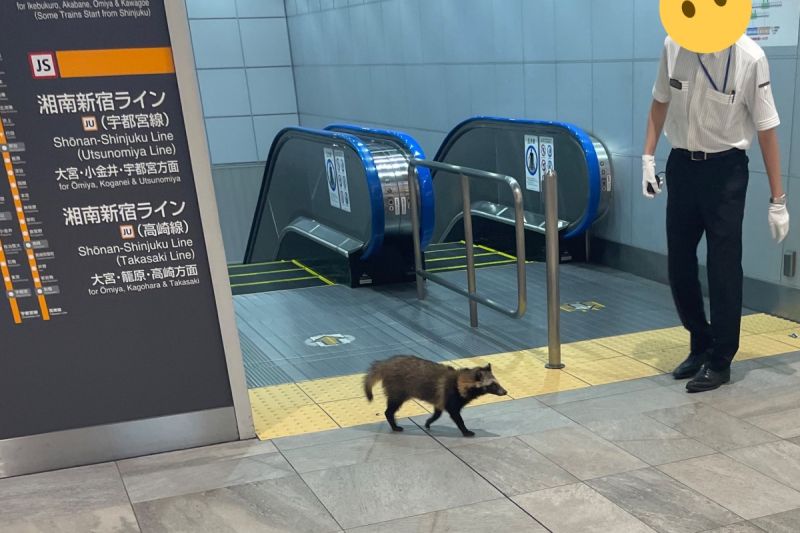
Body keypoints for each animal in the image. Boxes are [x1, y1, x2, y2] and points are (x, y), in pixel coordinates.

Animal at [364, 354, 506, 436]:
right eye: (493, 385)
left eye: (497, 382)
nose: (505, 392)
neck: (460, 380)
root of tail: (386, 364)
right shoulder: (451, 396)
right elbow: (456, 415)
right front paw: (464, 430)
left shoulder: (441, 398)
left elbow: (438, 412)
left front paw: (430, 420)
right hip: (397, 388)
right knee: (391, 408)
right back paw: (392, 422)